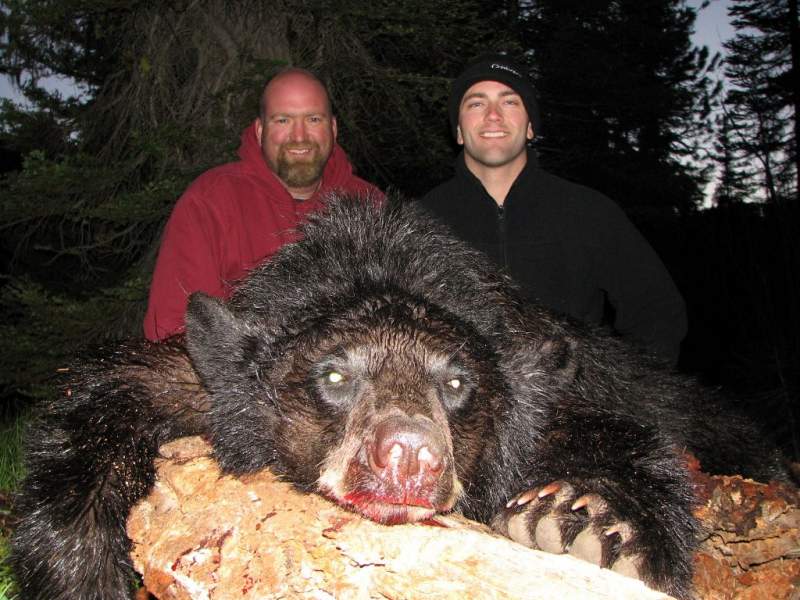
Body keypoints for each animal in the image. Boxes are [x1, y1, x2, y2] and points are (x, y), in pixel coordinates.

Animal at [11, 196, 789, 600]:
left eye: (456, 384)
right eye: (333, 376)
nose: (408, 455)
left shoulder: (537, 400)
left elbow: (610, 434)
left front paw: (590, 522)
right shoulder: (202, 380)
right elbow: (109, 400)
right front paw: (85, 571)